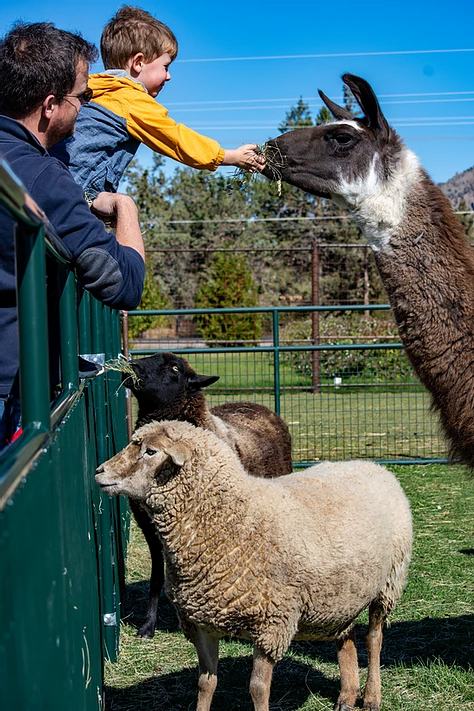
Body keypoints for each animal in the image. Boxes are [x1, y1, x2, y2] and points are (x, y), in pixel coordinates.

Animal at [96, 420, 412, 708]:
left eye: (150, 451)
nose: (99, 472)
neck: (233, 519)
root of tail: (371, 465)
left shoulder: (271, 624)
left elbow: (258, 689)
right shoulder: (201, 623)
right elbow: (205, 683)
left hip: (388, 584)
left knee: (374, 639)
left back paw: (371, 697)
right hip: (342, 594)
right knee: (346, 637)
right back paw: (346, 697)